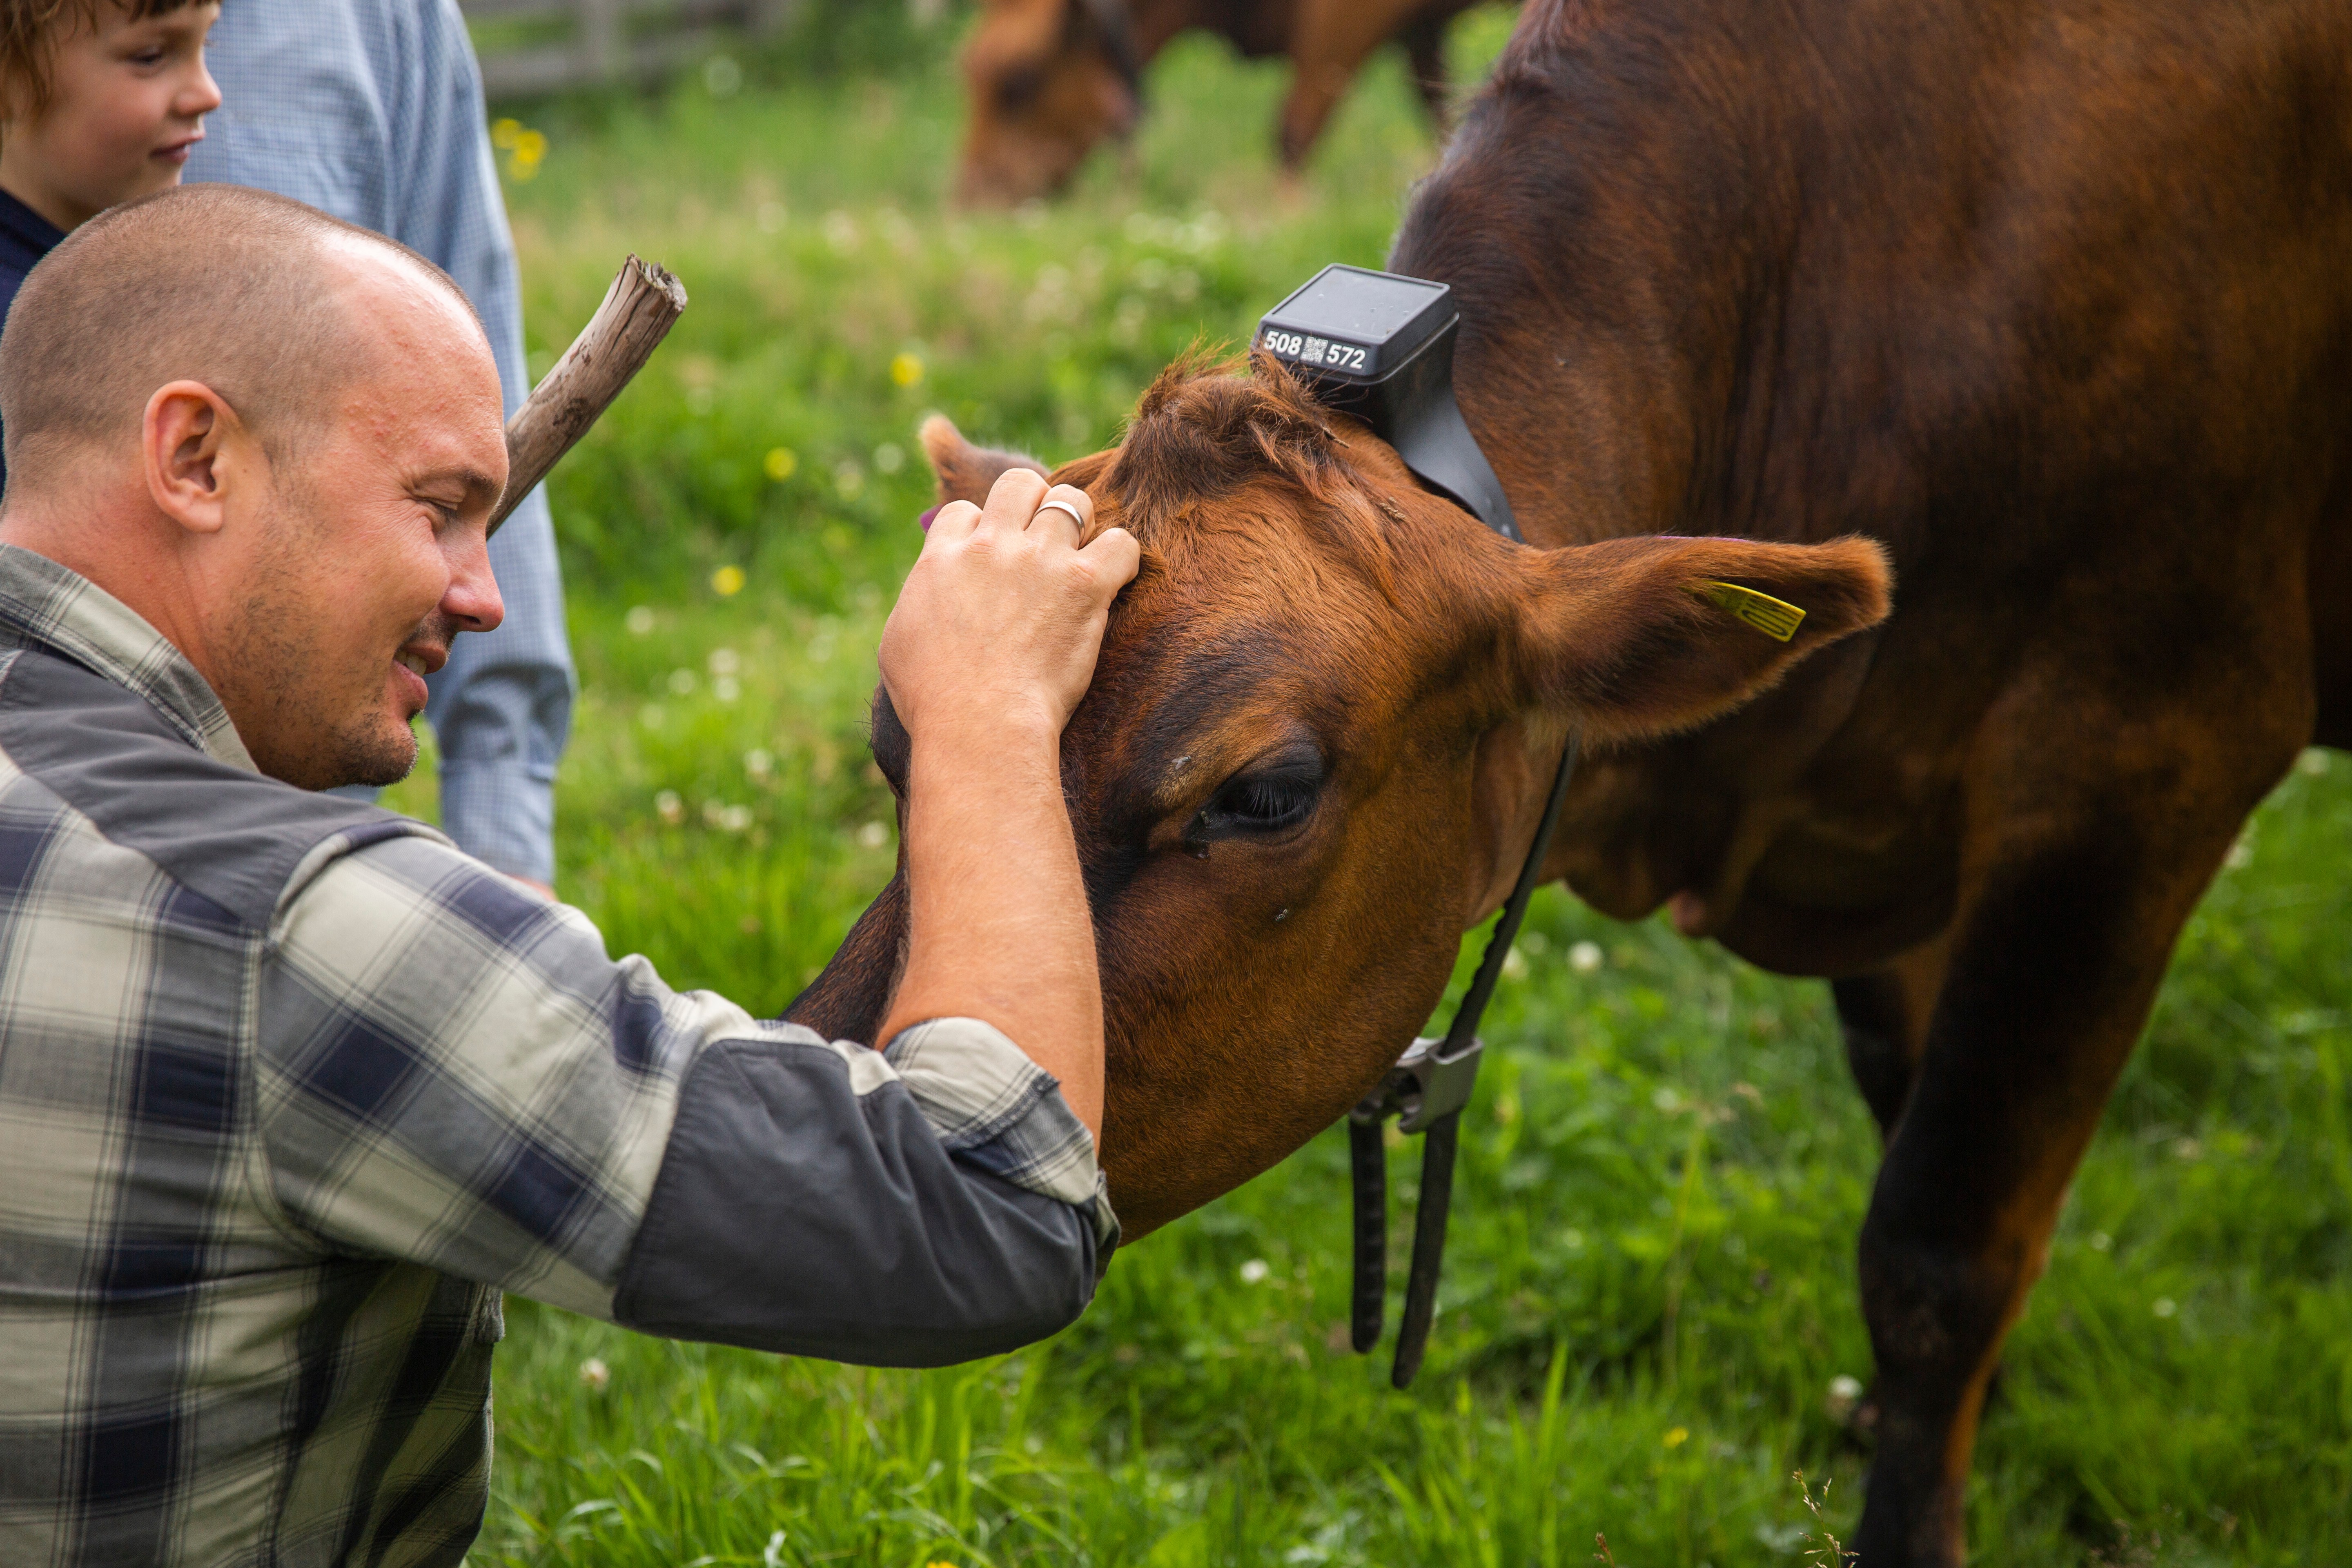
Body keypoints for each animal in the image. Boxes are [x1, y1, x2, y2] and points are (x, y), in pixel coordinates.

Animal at [954, 0, 1487, 205]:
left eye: (1019, 81)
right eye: (967, 68)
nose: (969, 199)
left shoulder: (1341, 25)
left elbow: (1293, 131)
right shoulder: (1422, 33)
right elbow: (1439, 115)